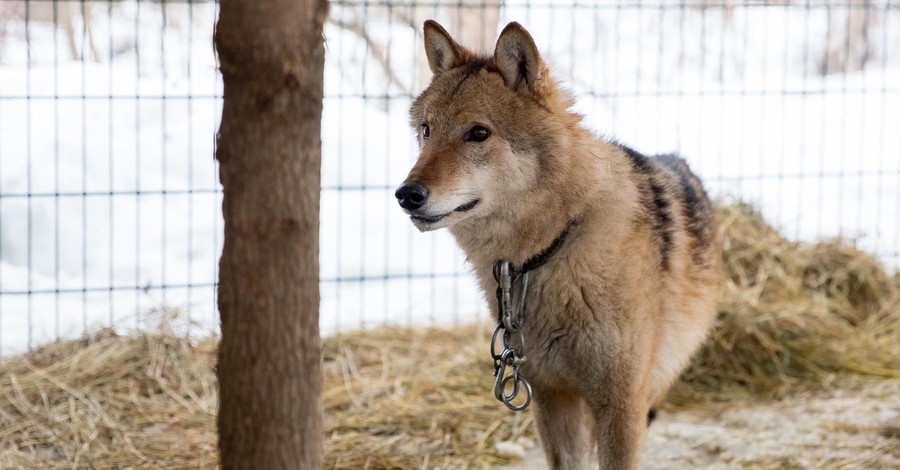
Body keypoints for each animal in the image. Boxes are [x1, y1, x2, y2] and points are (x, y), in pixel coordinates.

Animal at [398, 20, 720, 468]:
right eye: (426, 131)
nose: (406, 194)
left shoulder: (621, 405)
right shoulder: (551, 396)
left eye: (478, 133)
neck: (549, 251)